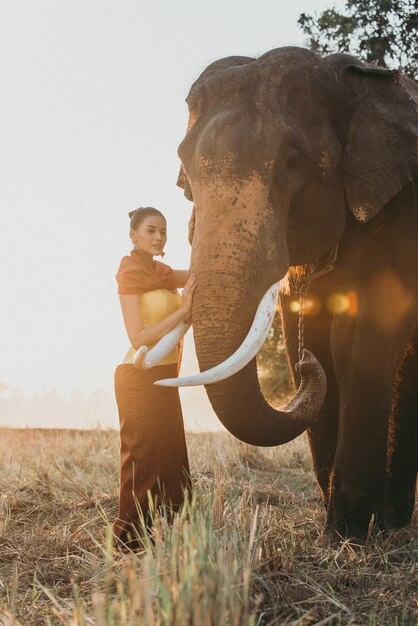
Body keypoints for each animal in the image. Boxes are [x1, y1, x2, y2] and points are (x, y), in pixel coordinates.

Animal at [171, 46, 416, 540]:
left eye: (291, 161)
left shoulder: (400, 211)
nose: (304, 368)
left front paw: (350, 531)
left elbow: (359, 342)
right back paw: (395, 520)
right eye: (185, 172)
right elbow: (306, 329)